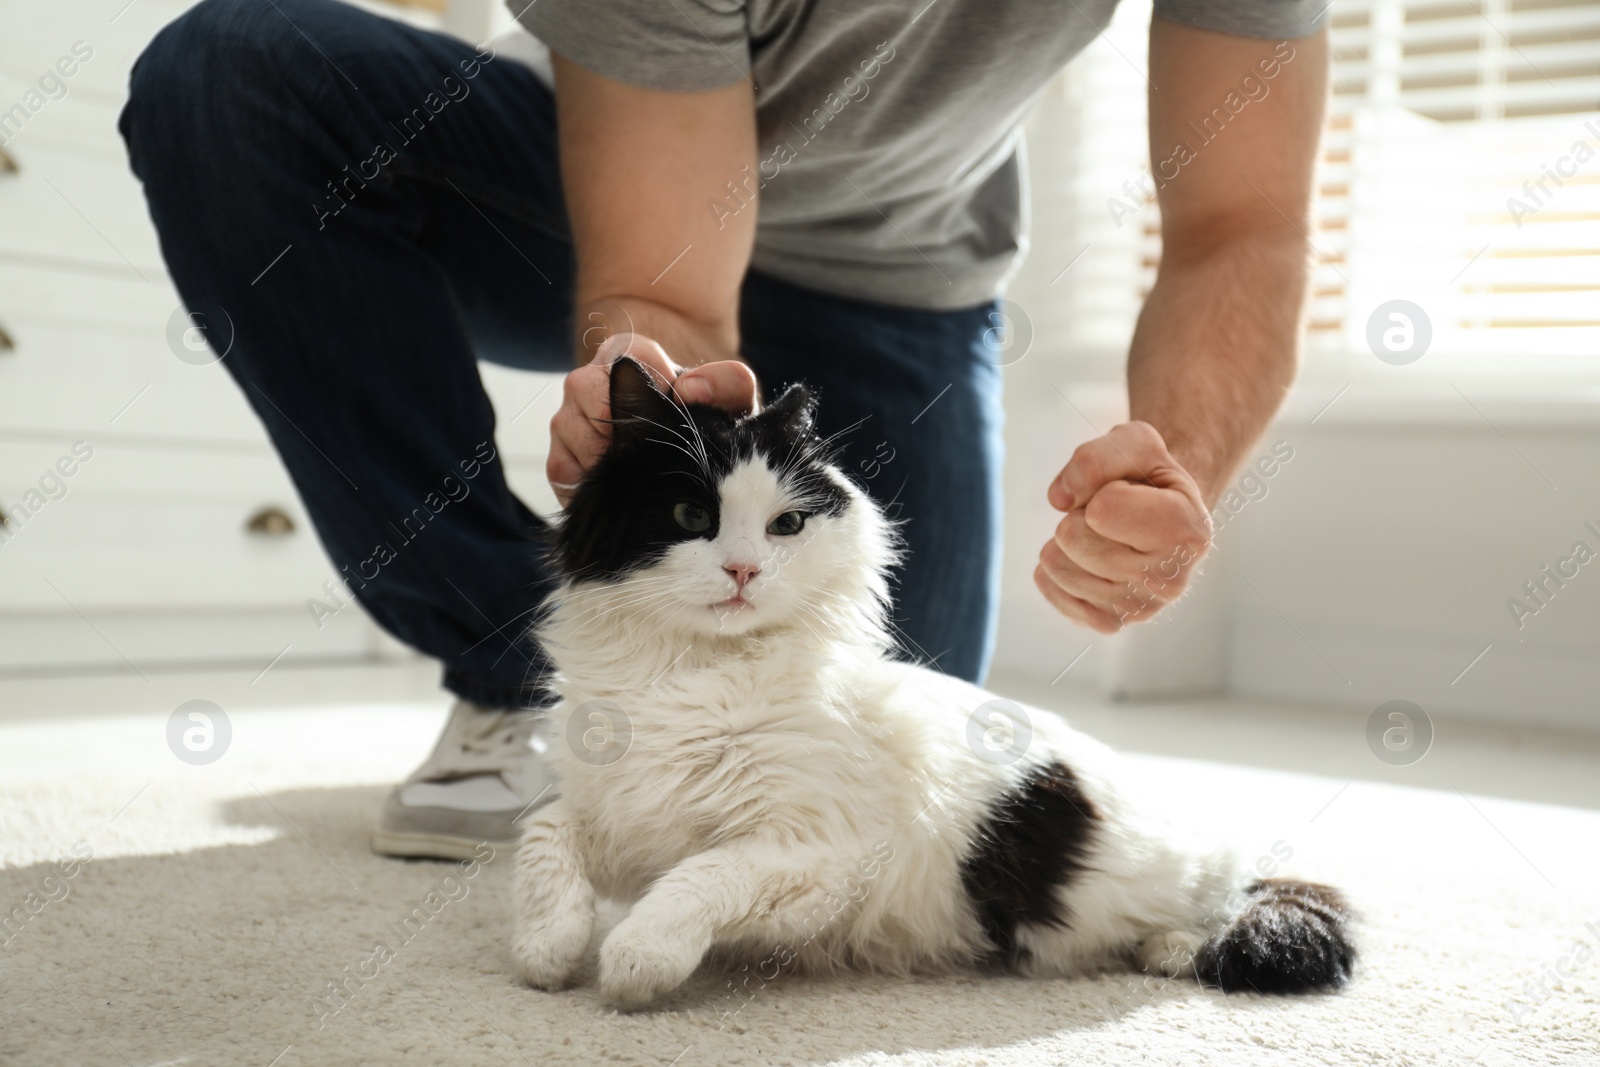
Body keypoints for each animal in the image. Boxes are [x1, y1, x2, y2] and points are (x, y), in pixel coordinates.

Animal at [508, 358, 1350, 1011]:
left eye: (786, 526)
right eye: (691, 514)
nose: (744, 570)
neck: (692, 672)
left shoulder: (816, 848)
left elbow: (697, 878)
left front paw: (635, 960)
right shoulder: (619, 808)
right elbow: (545, 832)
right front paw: (547, 946)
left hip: (1183, 883)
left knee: (1220, 914)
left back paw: (1171, 948)